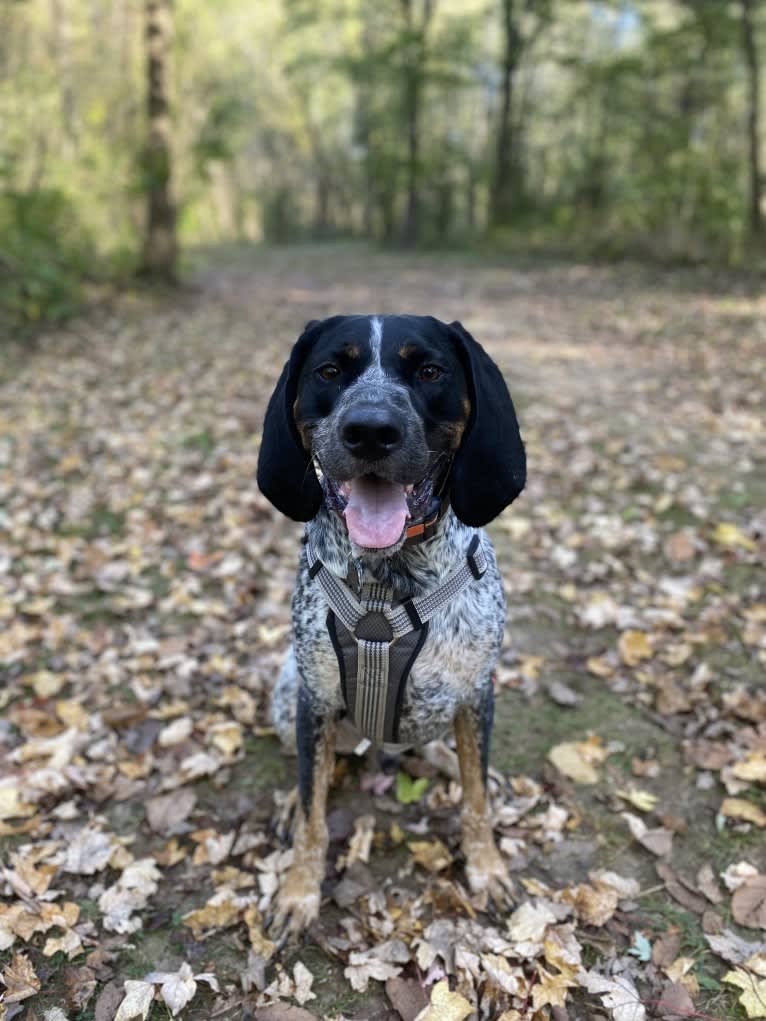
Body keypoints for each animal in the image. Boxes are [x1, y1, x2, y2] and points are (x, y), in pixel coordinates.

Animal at [258, 312, 527, 939]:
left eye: (429, 371)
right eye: (330, 371)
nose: (371, 431)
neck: (388, 582)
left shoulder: (476, 692)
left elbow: (475, 798)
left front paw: (487, 868)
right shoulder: (315, 699)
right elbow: (313, 812)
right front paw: (299, 891)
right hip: (286, 695)